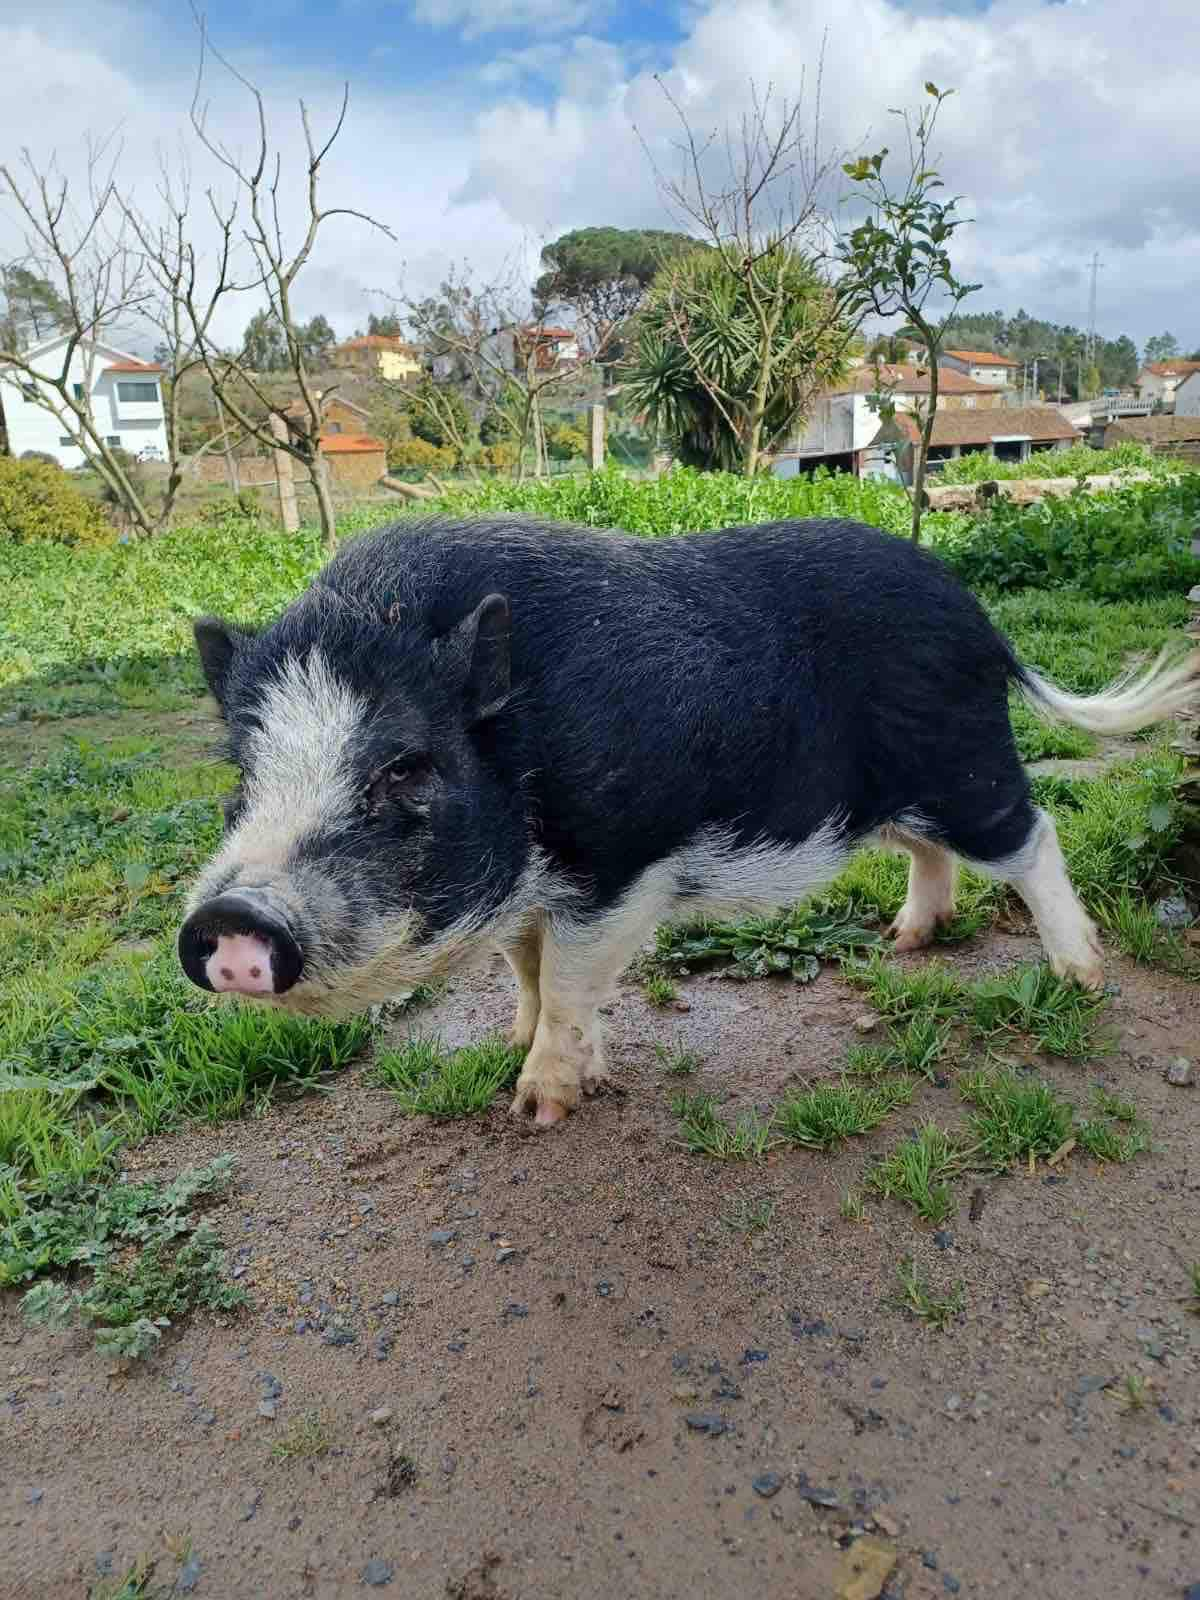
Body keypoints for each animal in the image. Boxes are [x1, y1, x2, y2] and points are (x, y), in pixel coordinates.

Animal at [178, 515, 1200, 1126]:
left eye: (405, 767)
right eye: (243, 773)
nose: (231, 920)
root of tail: (981, 620)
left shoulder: (620, 864)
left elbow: (570, 982)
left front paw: (538, 1106)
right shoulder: (534, 892)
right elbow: (528, 971)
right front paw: (513, 1046)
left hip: (965, 763)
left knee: (1035, 837)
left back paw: (1081, 980)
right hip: (894, 794)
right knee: (926, 850)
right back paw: (905, 942)